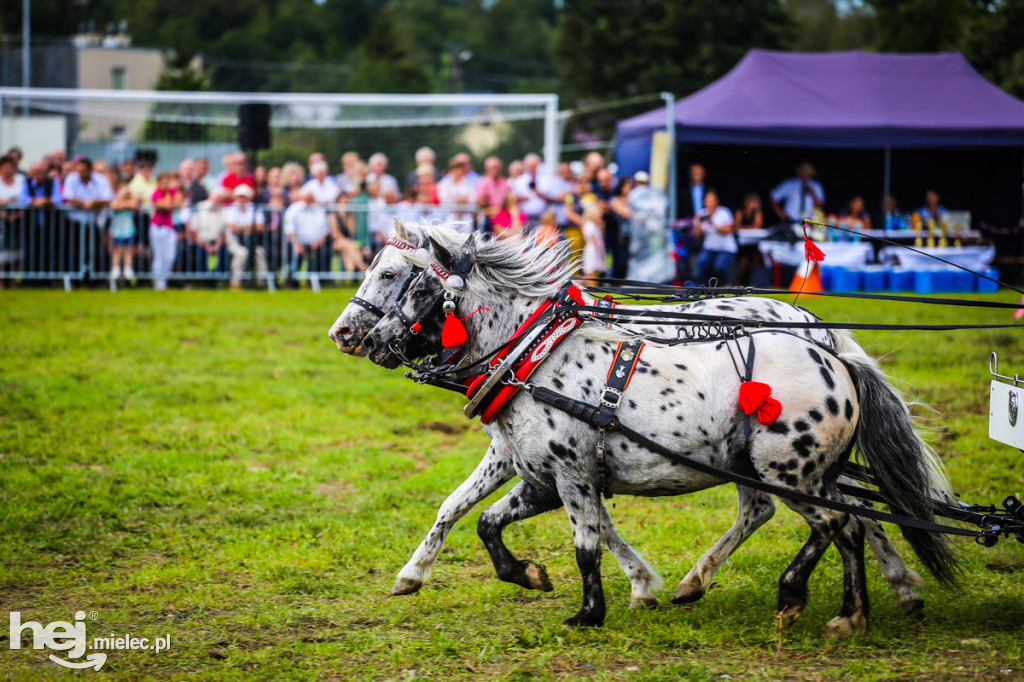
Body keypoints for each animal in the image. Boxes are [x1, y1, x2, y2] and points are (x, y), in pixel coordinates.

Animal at [358, 223, 958, 630]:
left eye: (409, 283)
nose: (362, 338)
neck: (534, 357)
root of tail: (834, 357)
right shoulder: (539, 477)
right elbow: (479, 518)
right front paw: (524, 574)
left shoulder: (571, 474)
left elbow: (587, 542)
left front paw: (592, 611)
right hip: (790, 471)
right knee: (838, 521)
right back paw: (851, 609)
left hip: (789, 472)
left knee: (838, 522)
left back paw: (800, 594)